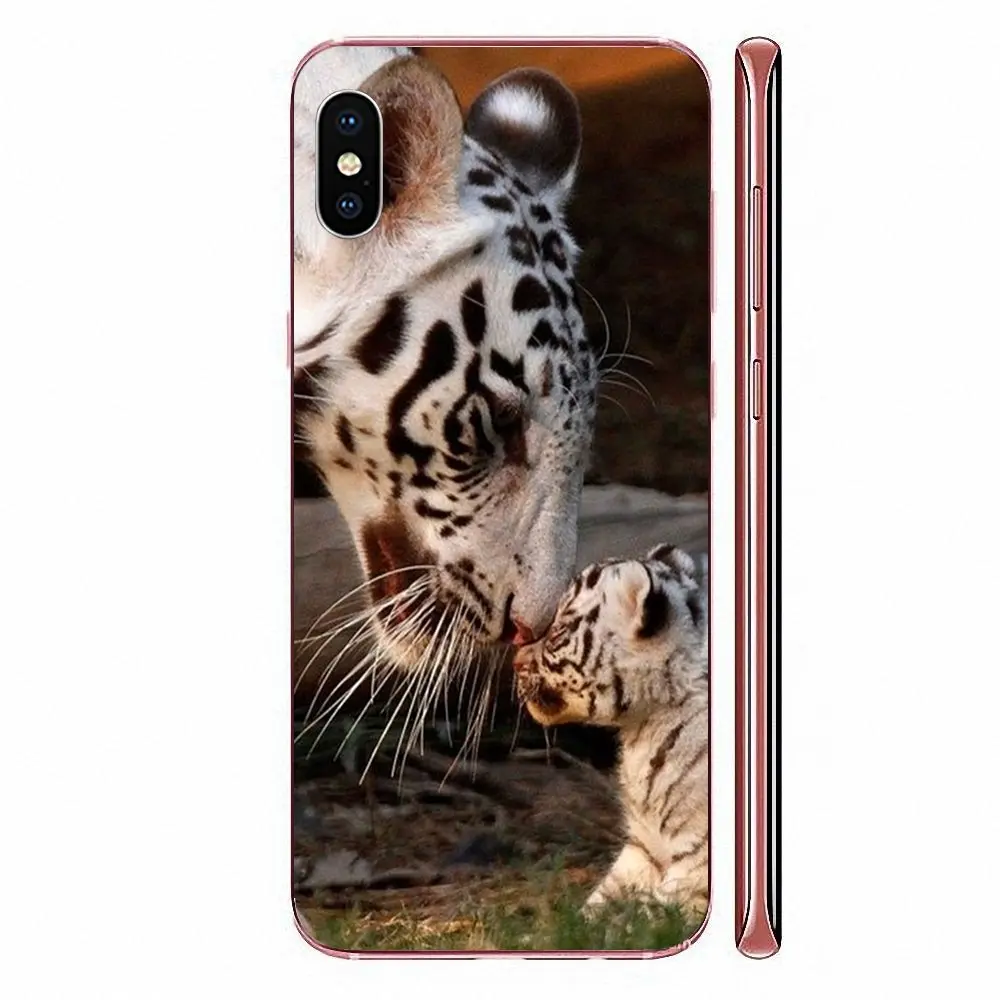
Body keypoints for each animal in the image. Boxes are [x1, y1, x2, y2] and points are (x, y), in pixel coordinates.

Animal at [513, 544, 709, 921]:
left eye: (558, 631)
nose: (515, 662)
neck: (642, 731)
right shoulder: (642, 847)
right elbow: (602, 899)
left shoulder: (696, 858)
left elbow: (651, 913)